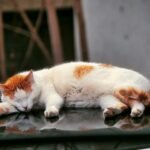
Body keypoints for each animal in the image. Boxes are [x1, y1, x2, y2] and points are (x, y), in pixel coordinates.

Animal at [0, 61, 149, 118]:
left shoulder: (53, 96)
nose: (25, 107)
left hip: (121, 89)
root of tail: (147, 81)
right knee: (125, 106)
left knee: (136, 102)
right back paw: (117, 112)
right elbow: (6, 107)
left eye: (28, 95)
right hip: (107, 98)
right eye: (17, 100)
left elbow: (52, 103)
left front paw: (50, 111)